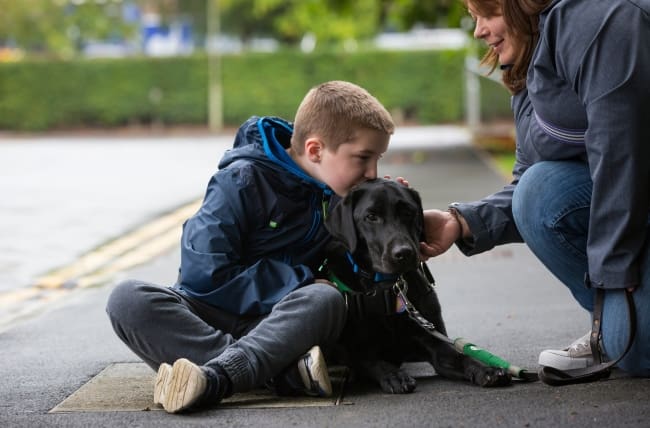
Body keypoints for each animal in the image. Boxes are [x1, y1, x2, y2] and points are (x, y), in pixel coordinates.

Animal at [322, 178, 508, 394]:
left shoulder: (435, 344)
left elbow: (461, 357)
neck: (388, 288)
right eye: (371, 216)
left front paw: (486, 369)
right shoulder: (356, 349)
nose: (404, 253)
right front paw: (395, 375)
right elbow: (374, 361)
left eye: (408, 212)